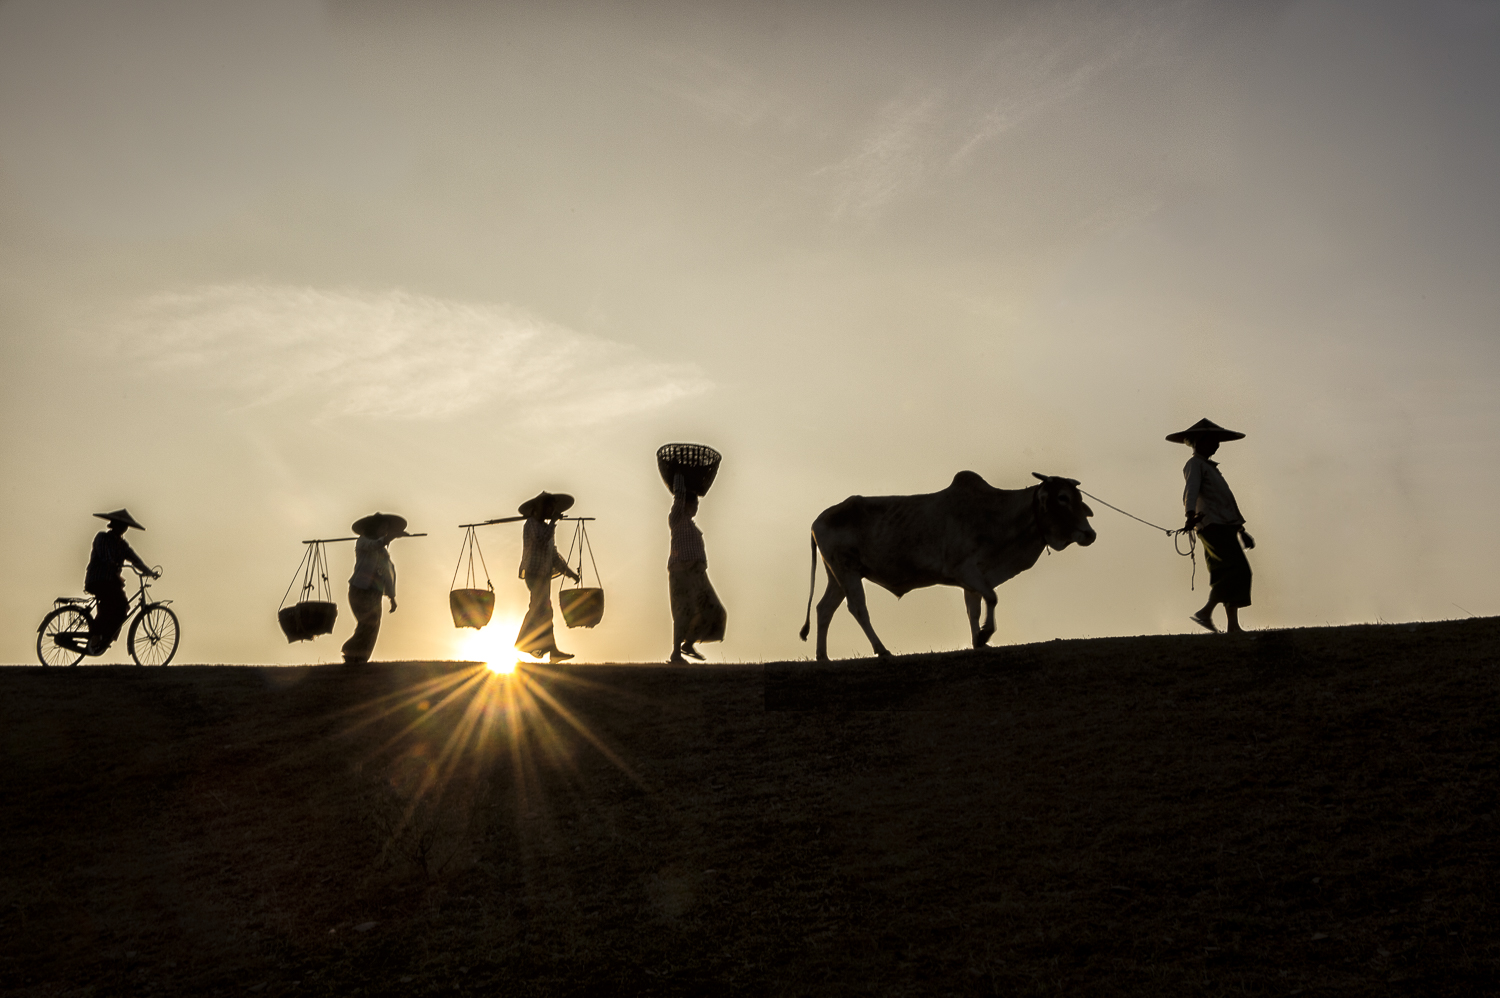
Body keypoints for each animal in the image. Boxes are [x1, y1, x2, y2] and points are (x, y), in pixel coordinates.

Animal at [798, 471, 1104, 657]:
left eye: (1079, 499)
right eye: (1062, 498)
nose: (1089, 534)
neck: (996, 515)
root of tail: (817, 521)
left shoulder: (974, 579)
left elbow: (975, 608)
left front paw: (978, 641)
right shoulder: (965, 570)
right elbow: (992, 598)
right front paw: (985, 635)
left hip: (837, 575)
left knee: (824, 609)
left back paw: (823, 656)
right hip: (847, 571)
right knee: (858, 608)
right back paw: (881, 650)